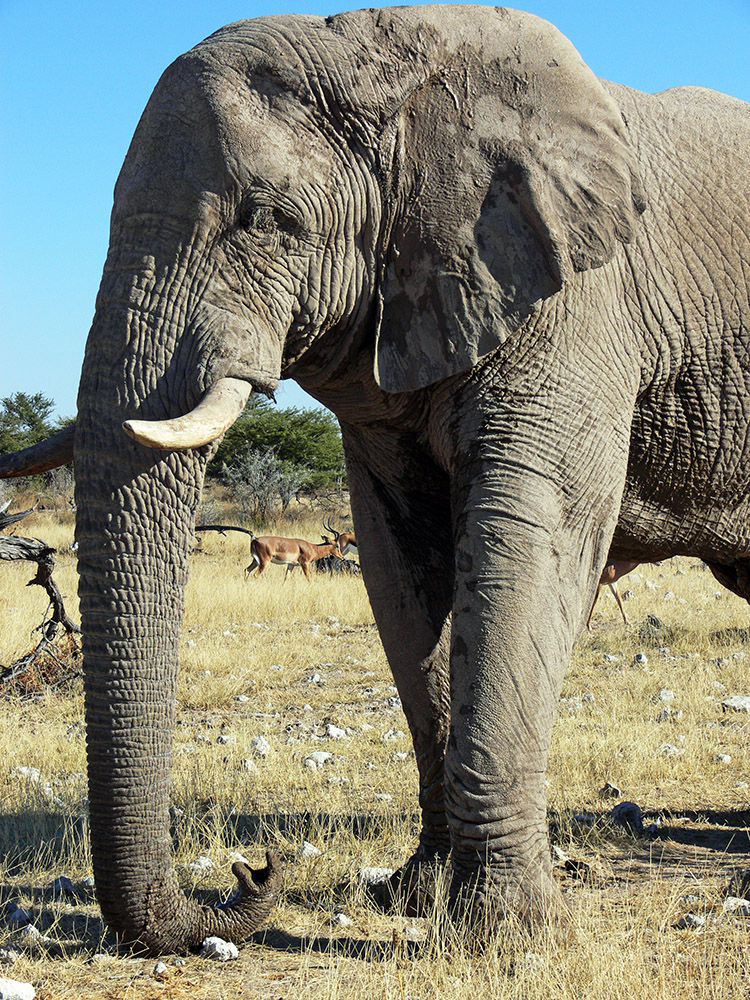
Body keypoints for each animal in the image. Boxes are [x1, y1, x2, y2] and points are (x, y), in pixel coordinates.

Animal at [2, 3, 749, 955]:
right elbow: (403, 566)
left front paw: (504, 935)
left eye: (266, 219)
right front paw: (419, 895)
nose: (252, 872)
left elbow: (527, 551)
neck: (389, 62)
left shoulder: (579, 311)